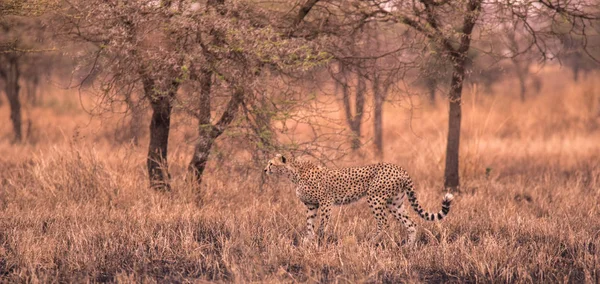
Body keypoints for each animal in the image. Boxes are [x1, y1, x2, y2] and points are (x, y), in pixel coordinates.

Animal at [264, 154, 452, 245]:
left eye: (271, 163)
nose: (265, 169)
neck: (294, 173)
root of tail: (400, 168)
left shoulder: (326, 201)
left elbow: (323, 223)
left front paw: (319, 240)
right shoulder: (311, 205)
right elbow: (309, 224)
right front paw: (308, 241)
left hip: (374, 197)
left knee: (384, 222)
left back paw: (371, 242)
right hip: (395, 203)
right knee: (411, 223)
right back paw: (408, 247)